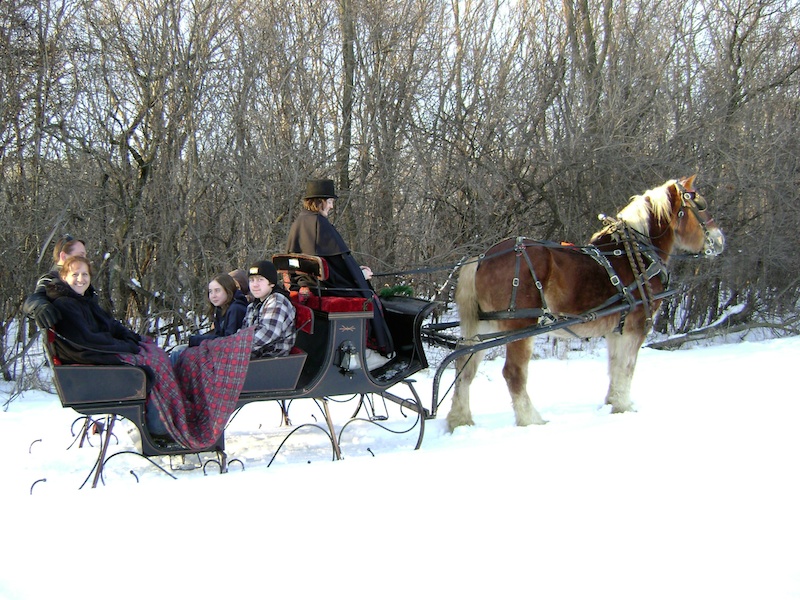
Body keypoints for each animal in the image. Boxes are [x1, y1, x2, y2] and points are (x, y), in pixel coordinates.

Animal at [446, 175, 728, 432]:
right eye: (700, 205)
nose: (720, 240)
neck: (634, 254)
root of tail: (482, 257)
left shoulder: (617, 329)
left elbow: (614, 365)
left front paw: (613, 402)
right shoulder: (637, 326)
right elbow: (627, 366)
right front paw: (624, 405)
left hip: (485, 325)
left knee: (465, 367)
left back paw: (460, 420)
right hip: (521, 326)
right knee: (513, 373)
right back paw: (531, 420)